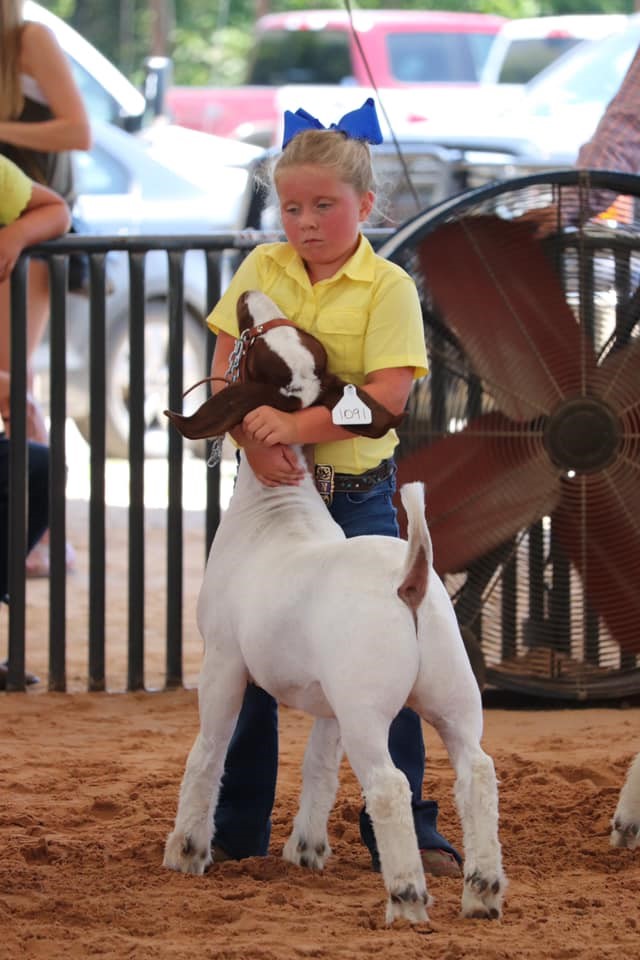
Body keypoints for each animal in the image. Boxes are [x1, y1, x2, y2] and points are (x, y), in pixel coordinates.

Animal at [161, 286, 504, 924]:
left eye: (256, 351)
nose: (247, 295)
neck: (277, 511)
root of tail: (408, 579)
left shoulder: (222, 661)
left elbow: (209, 753)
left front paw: (187, 850)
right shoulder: (328, 702)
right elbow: (318, 766)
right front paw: (306, 851)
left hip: (369, 705)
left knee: (390, 785)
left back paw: (407, 899)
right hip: (450, 691)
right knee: (478, 769)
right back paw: (483, 893)